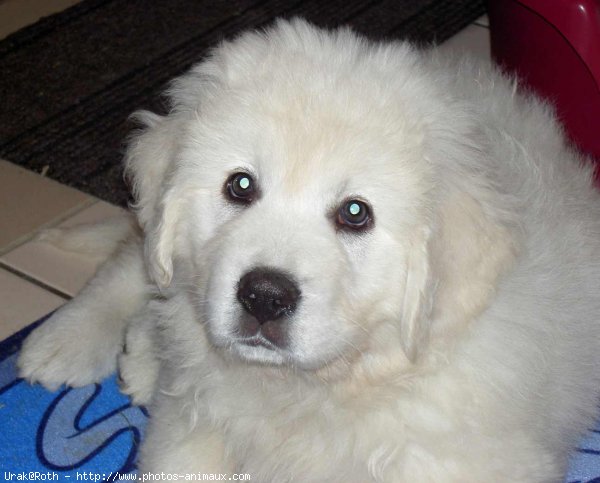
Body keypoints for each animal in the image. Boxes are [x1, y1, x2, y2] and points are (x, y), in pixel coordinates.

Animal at [17, 19, 600, 483]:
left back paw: (140, 359)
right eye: (240, 186)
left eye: (355, 213)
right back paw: (65, 343)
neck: (319, 389)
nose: (264, 297)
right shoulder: (191, 428)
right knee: (135, 259)